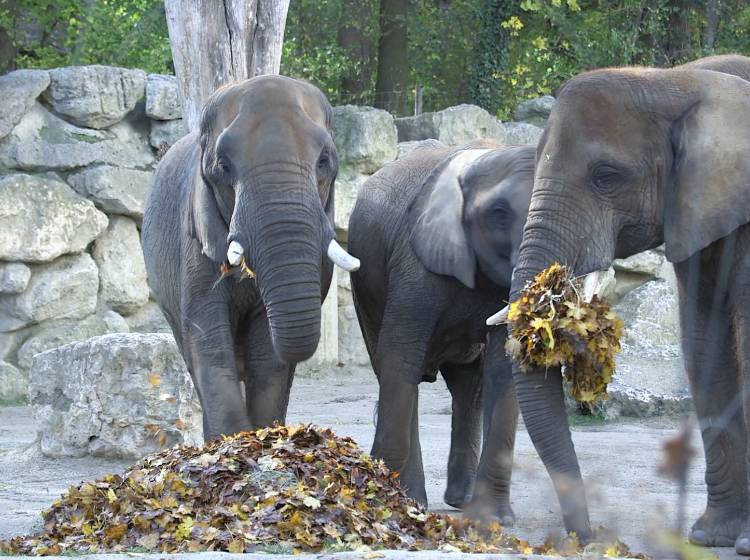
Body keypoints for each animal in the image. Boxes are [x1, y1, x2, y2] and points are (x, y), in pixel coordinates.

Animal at [143, 75, 362, 442]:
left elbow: (267, 354)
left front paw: (264, 437)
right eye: (223, 166)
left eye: (324, 161)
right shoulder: (195, 241)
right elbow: (208, 339)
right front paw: (232, 442)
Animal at [350, 140, 536, 520]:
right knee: (396, 369)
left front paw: (494, 519)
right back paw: (415, 498)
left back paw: (461, 501)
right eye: (498, 213)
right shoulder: (414, 260)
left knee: (469, 385)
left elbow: (503, 364)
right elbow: (400, 354)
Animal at [484, 54, 750, 552]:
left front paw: (739, 542)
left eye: (606, 175)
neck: (679, 80)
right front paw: (711, 537)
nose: (588, 538)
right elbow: (702, 340)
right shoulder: (696, 211)